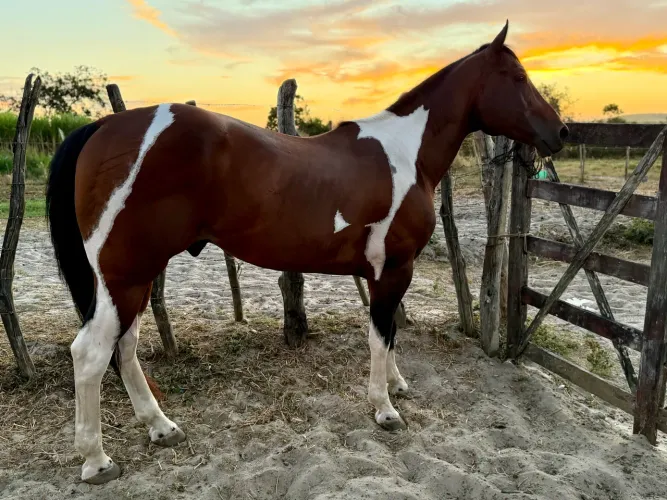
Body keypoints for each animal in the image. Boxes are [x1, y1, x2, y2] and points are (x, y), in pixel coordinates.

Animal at [45, 21, 567, 484]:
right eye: (517, 77)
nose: (561, 132)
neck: (406, 156)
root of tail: (104, 125)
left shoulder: (385, 273)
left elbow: (391, 333)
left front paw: (396, 385)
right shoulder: (394, 268)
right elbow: (380, 335)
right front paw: (385, 409)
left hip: (134, 277)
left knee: (125, 347)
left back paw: (160, 427)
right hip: (125, 276)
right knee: (91, 353)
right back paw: (97, 461)